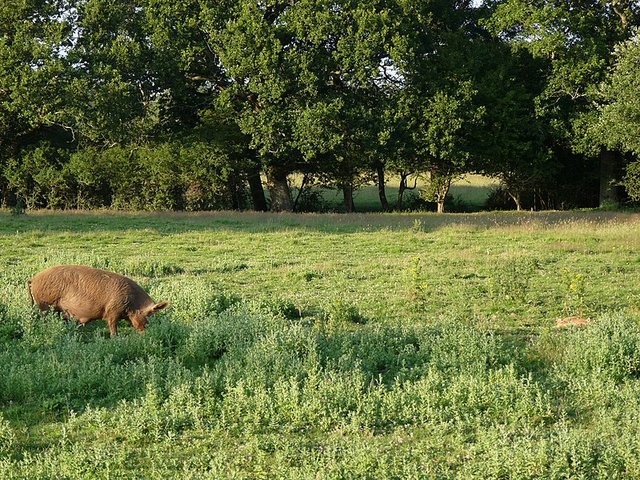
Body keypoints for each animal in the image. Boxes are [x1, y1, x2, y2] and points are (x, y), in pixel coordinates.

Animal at [28, 265, 169, 336]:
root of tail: (33, 279)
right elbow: (112, 326)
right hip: (44, 304)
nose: (148, 332)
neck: (133, 302)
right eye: (147, 314)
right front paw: (115, 338)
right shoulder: (113, 310)